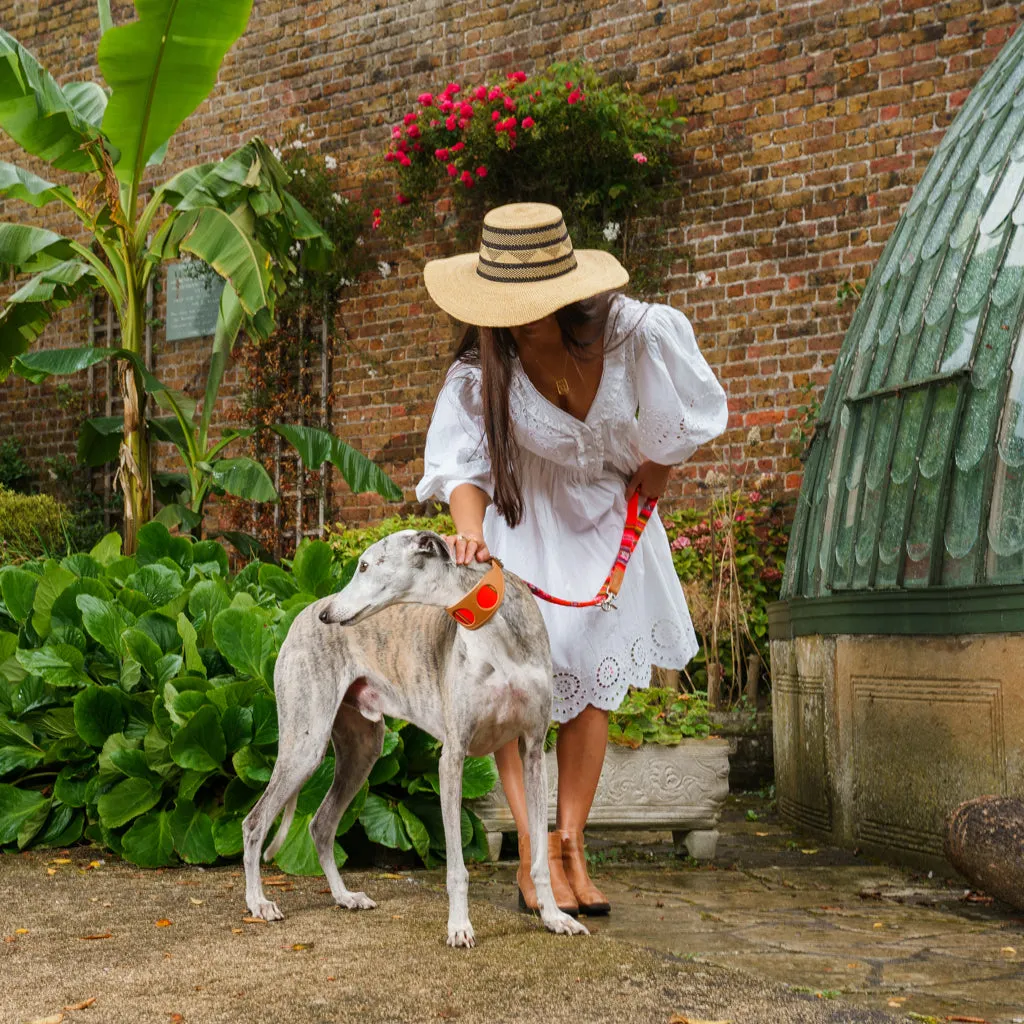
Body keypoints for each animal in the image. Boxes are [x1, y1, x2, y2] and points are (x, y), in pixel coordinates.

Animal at [240, 532, 589, 946]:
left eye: (364, 565)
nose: (328, 616)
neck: (494, 629)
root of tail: (301, 613)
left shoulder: (533, 751)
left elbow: (538, 858)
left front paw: (554, 918)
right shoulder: (452, 756)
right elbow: (457, 868)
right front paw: (459, 927)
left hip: (363, 751)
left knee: (320, 825)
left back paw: (344, 896)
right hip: (305, 744)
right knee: (255, 823)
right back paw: (258, 903)